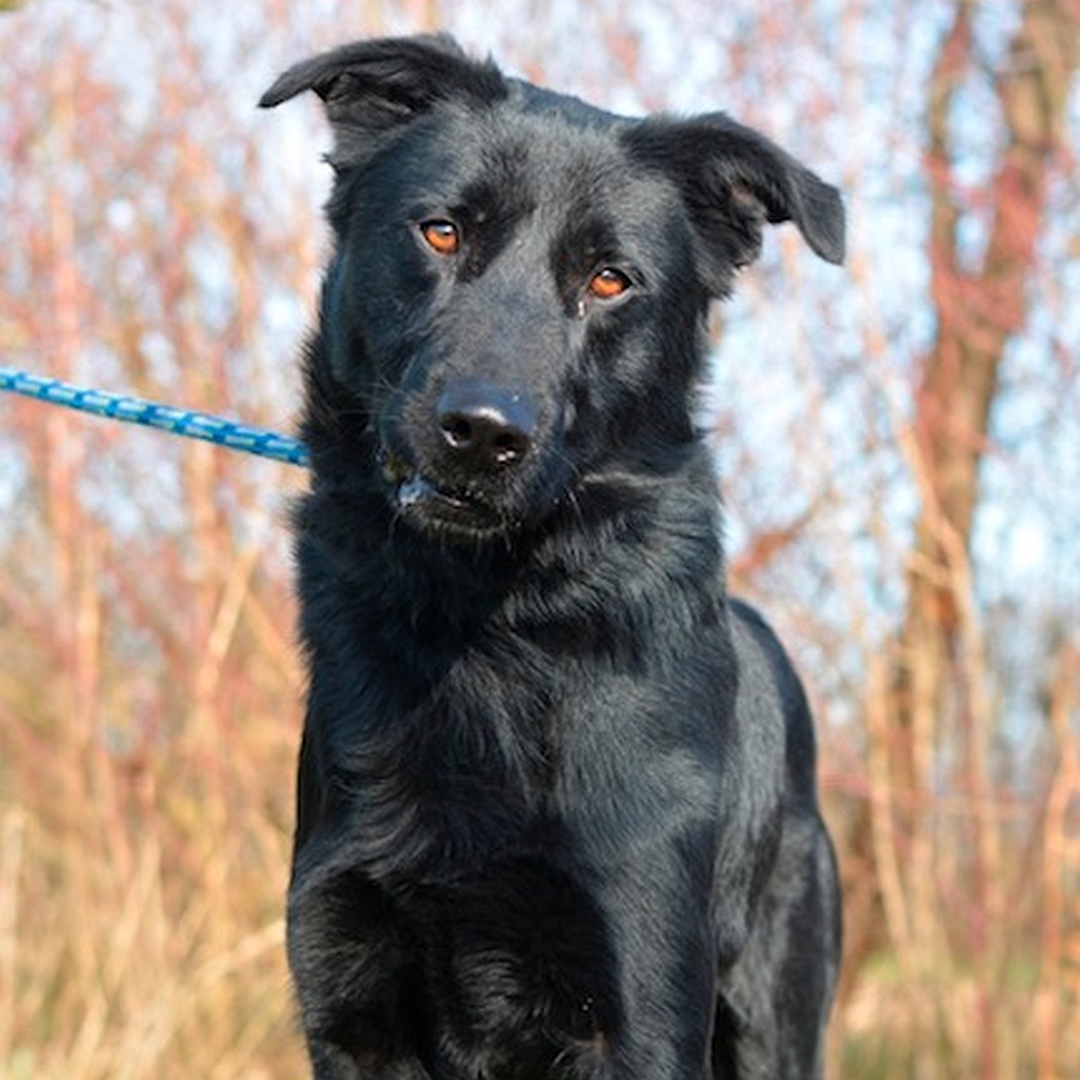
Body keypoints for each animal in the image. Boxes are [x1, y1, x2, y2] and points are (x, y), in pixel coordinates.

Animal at [261, 33, 842, 1080]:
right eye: (441, 233)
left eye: (610, 280)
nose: (485, 433)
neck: (484, 622)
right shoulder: (350, 1006)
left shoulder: (639, 1007)